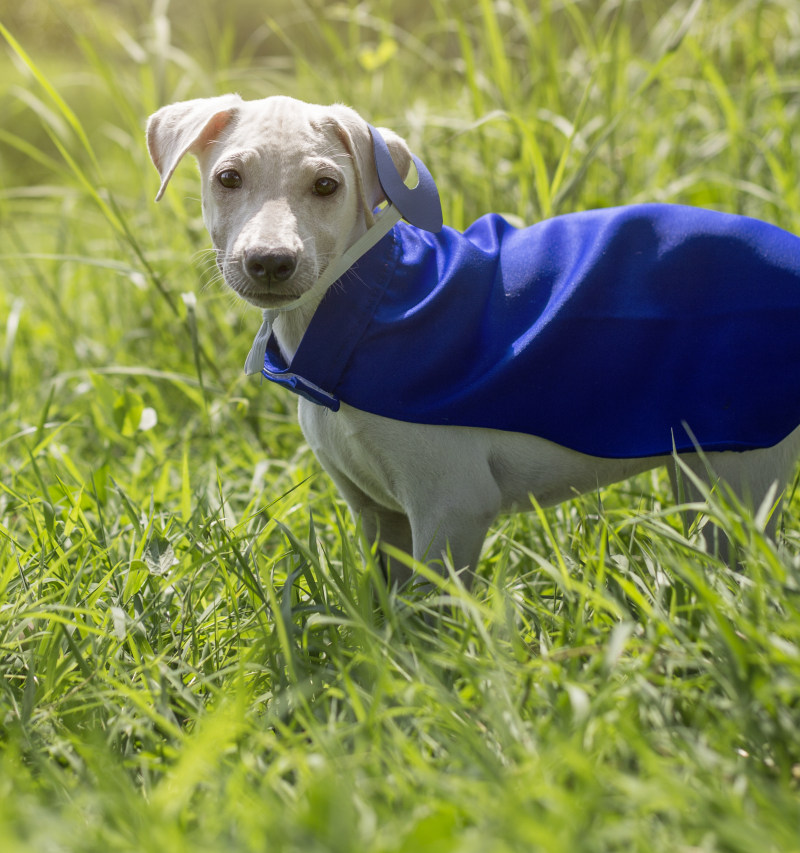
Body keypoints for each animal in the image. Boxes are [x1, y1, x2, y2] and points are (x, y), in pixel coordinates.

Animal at [145, 95, 800, 584]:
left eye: (327, 186)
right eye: (228, 178)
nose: (270, 263)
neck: (359, 312)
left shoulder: (451, 505)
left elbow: (426, 617)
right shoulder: (377, 514)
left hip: (744, 473)